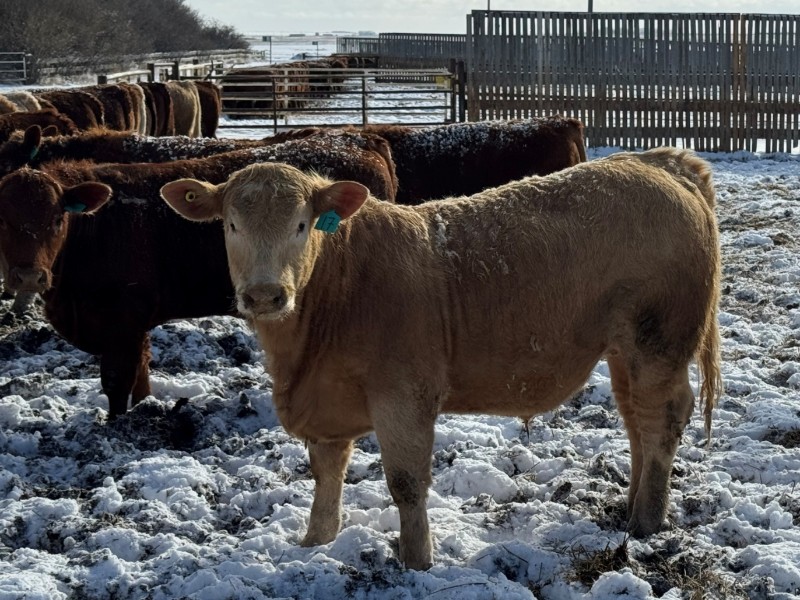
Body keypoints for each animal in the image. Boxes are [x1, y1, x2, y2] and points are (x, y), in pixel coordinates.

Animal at [0, 132, 398, 418]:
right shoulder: (133, 324)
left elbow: (117, 382)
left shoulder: (121, 321)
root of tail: (359, 141)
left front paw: (117, 426)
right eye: (2, 218)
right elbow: (142, 372)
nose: (28, 277)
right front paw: (145, 408)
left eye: (57, 219)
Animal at [160, 147, 722, 570]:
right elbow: (327, 473)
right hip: (625, 350)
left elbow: (406, 483)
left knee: (662, 419)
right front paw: (315, 544)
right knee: (635, 421)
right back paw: (629, 507)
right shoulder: (325, 404)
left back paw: (646, 521)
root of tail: (660, 162)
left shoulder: (403, 394)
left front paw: (416, 561)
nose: (264, 294)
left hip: (660, 341)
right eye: (231, 225)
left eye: (302, 225)